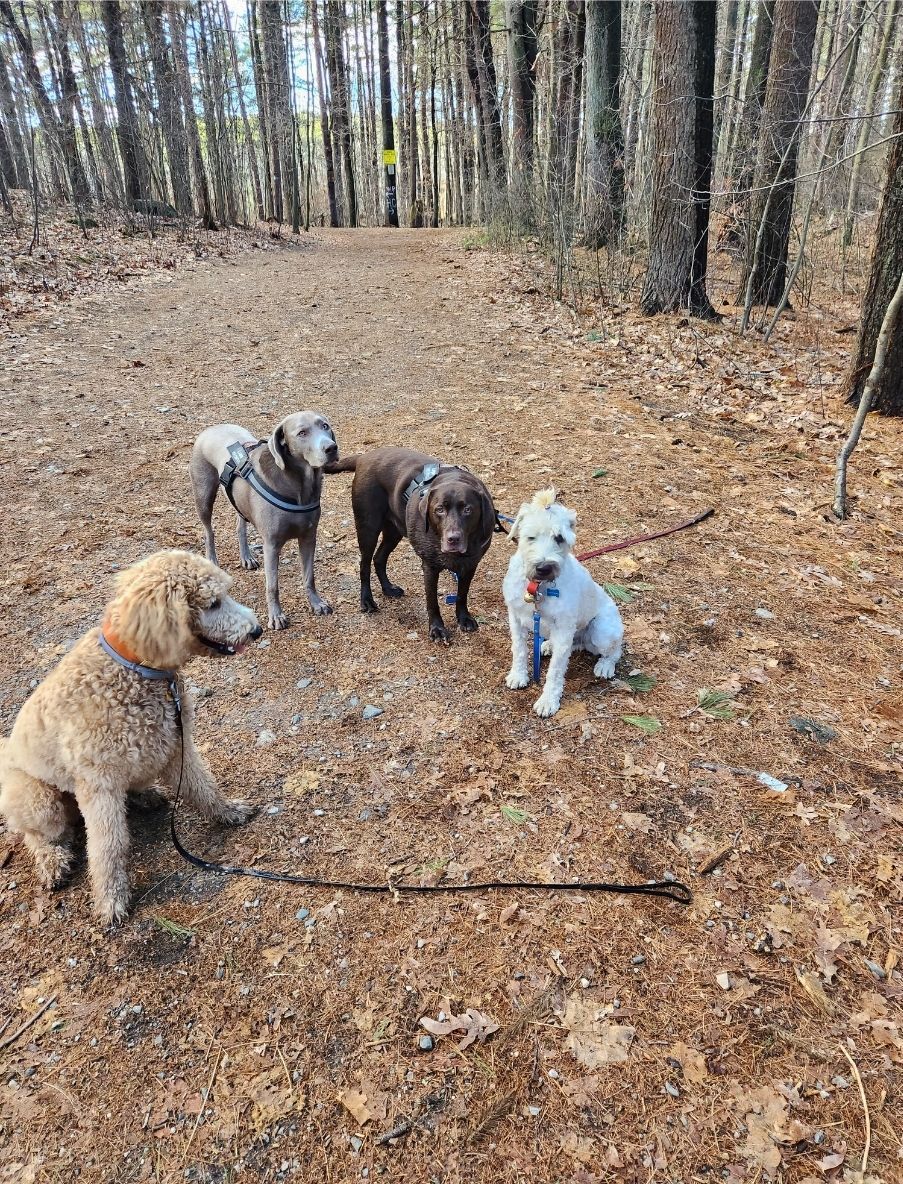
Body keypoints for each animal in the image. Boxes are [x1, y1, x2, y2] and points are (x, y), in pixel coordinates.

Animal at [0, 550, 262, 925]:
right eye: (213, 603)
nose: (256, 630)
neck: (136, 669)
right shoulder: (99, 785)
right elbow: (108, 847)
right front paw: (111, 899)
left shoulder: (177, 745)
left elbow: (203, 787)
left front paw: (227, 812)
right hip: (37, 799)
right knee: (40, 836)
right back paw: (53, 862)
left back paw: (144, 796)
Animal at [189, 412, 338, 629]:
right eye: (302, 433)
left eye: (325, 426)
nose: (331, 448)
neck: (298, 486)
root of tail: (211, 428)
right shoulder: (271, 545)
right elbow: (273, 586)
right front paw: (276, 616)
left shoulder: (309, 537)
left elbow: (309, 576)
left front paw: (316, 603)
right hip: (203, 495)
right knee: (209, 531)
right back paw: (212, 561)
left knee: (240, 525)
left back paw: (247, 557)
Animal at [326, 447, 496, 642]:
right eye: (439, 509)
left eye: (468, 509)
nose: (453, 539)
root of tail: (364, 457)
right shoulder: (430, 567)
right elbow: (432, 601)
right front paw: (437, 629)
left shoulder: (470, 565)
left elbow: (462, 594)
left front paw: (464, 618)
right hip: (368, 527)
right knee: (365, 564)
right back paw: (367, 600)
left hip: (394, 531)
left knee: (379, 558)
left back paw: (388, 588)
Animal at [503, 489, 623, 717]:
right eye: (530, 537)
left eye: (559, 538)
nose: (543, 568)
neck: (538, 586)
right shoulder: (515, 618)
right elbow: (519, 650)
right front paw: (518, 675)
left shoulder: (563, 627)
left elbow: (556, 670)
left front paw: (548, 701)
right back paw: (548, 645)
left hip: (601, 632)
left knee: (615, 650)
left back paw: (605, 666)